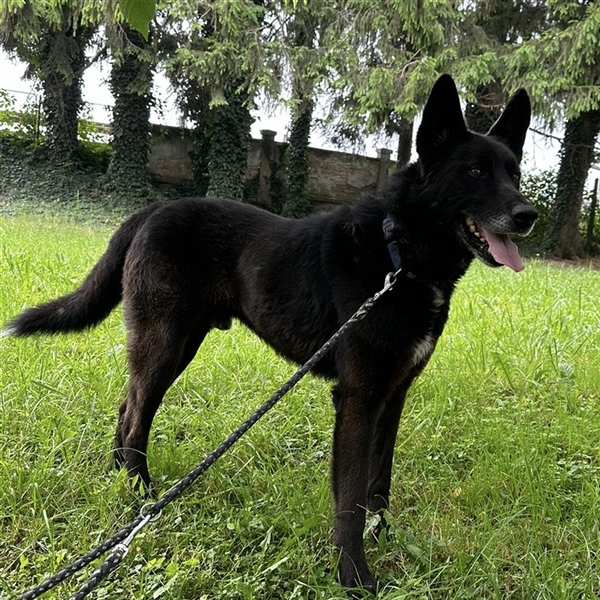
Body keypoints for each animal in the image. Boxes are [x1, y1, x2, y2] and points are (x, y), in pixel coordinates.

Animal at [3, 74, 537, 592]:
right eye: (475, 173)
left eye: (514, 174)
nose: (528, 215)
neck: (399, 255)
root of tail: (151, 212)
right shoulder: (358, 398)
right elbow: (350, 496)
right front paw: (355, 577)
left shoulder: (394, 395)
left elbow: (378, 482)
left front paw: (385, 538)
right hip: (165, 343)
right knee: (136, 416)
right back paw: (141, 497)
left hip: (176, 345)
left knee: (127, 408)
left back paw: (123, 483)